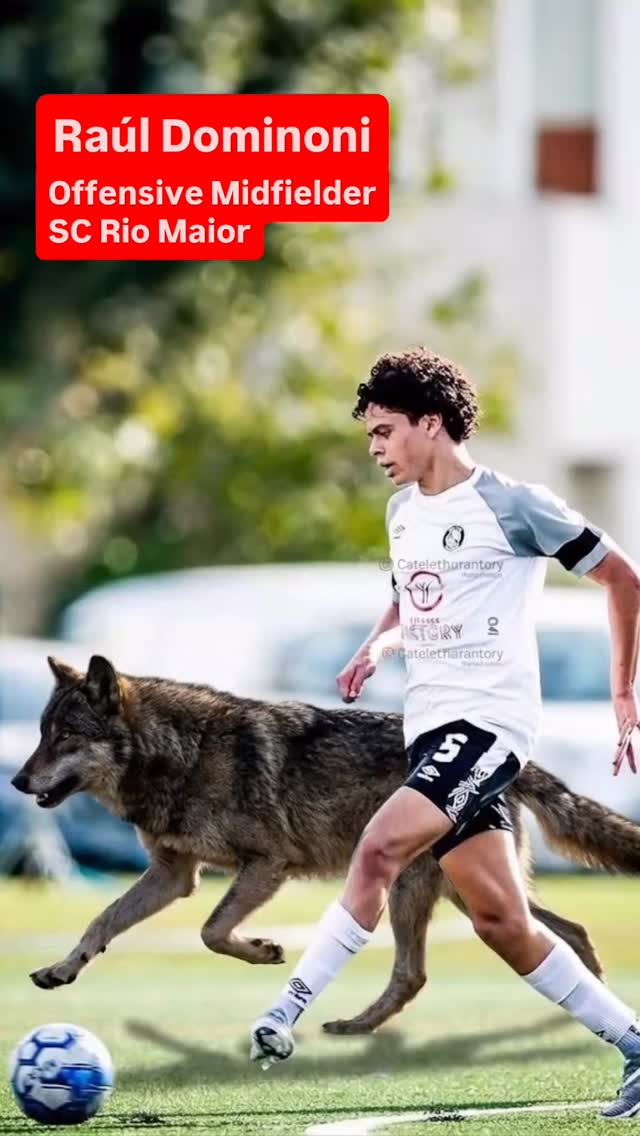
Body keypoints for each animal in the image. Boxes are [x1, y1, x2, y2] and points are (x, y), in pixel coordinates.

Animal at [11, 654, 640, 1035]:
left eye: (64, 737)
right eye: (43, 734)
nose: (16, 781)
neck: (181, 755)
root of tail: (510, 758)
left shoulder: (267, 864)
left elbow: (211, 932)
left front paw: (264, 950)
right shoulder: (174, 875)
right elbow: (101, 922)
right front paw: (61, 970)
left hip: (423, 891)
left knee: (420, 972)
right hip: (468, 896)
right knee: (566, 933)